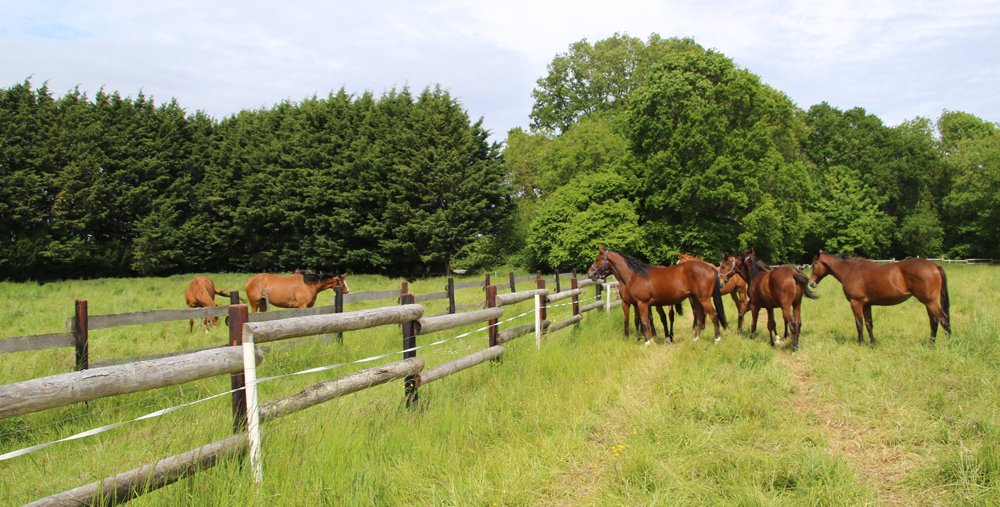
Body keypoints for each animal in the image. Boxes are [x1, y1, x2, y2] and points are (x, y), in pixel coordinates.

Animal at [589, 246, 726, 344]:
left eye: (597, 259)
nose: (589, 273)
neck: (634, 275)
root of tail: (710, 268)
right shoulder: (636, 304)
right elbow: (637, 321)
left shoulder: (642, 303)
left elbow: (644, 322)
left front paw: (648, 342)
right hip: (696, 299)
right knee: (699, 317)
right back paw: (695, 339)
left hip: (704, 299)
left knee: (713, 315)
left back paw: (717, 339)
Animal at [809, 252, 951, 345]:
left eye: (814, 264)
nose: (811, 283)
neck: (851, 271)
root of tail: (935, 266)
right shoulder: (867, 304)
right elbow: (869, 324)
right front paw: (872, 344)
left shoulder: (856, 303)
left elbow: (859, 324)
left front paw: (861, 343)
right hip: (928, 303)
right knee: (934, 322)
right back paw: (931, 344)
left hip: (930, 302)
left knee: (943, 320)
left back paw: (948, 344)